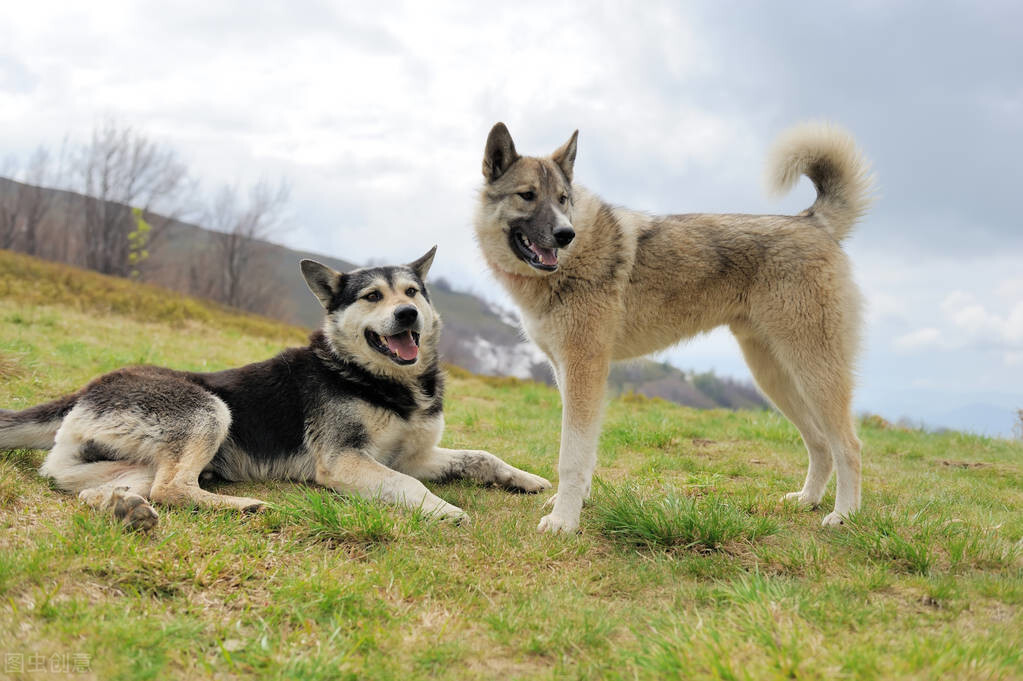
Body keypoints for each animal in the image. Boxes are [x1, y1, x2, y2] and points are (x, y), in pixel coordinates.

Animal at [474, 124, 875, 531]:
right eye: (527, 195)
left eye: (563, 199)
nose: (564, 234)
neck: (576, 256)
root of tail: (812, 221)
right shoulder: (568, 373)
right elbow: (584, 455)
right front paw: (574, 506)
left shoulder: (583, 370)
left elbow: (571, 458)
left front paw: (563, 523)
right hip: (776, 379)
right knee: (820, 444)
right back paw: (808, 500)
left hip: (814, 374)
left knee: (850, 447)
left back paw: (844, 515)